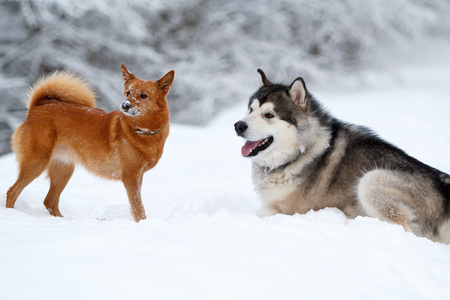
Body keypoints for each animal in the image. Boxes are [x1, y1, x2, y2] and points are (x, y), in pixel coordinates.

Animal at [5, 64, 174, 221]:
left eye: (144, 95)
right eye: (128, 92)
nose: (124, 105)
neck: (142, 130)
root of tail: (38, 106)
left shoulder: (138, 177)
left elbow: (135, 205)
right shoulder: (130, 176)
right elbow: (139, 207)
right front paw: (143, 223)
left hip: (63, 170)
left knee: (49, 201)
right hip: (37, 163)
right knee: (12, 192)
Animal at [236, 69, 450, 243]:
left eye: (269, 115)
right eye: (251, 110)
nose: (238, 125)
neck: (299, 152)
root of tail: (443, 188)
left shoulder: (284, 210)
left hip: (371, 180)